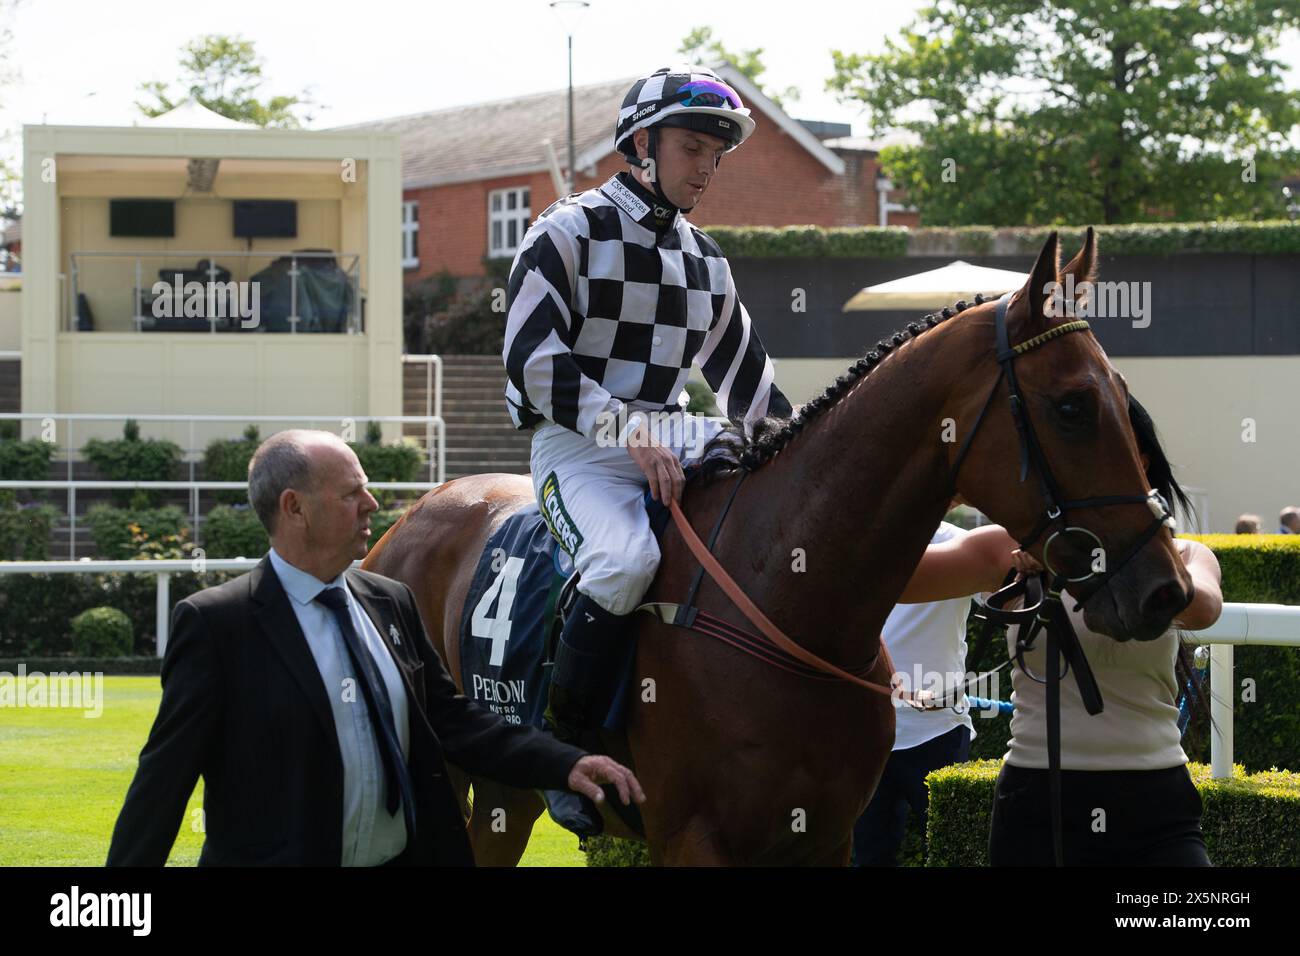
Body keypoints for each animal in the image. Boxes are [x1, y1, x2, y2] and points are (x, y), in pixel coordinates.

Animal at [361, 231, 1190, 868]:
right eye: (1073, 407)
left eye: (1125, 400)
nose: (1165, 589)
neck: (785, 600)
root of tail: (399, 528)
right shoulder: (695, 841)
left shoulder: (823, 838)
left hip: (504, 794)